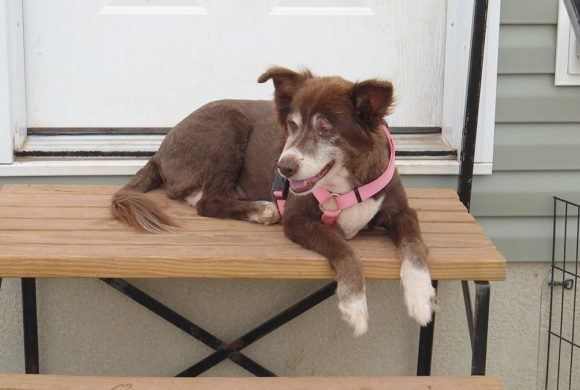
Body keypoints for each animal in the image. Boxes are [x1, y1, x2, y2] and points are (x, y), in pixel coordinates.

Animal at [112, 66, 436, 336]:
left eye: (325, 128)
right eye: (291, 125)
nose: (284, 168)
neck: (346, 185)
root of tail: (160, 149)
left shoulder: (403, 212)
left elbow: (414, 246)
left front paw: (420, 297)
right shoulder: (297, 219)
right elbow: (345, 249)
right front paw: (354, 305)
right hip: (229, 124)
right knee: (208, 202)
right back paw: (262, 210)